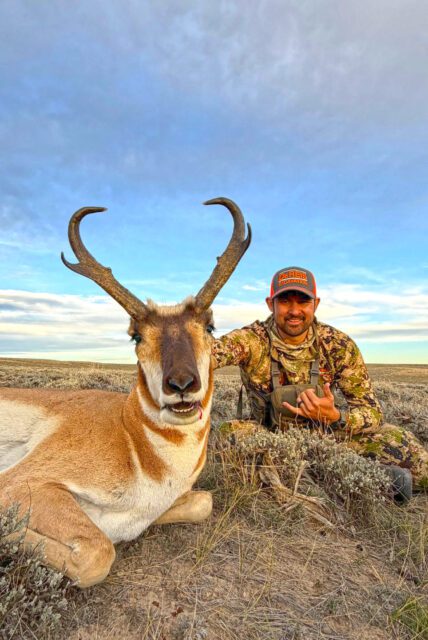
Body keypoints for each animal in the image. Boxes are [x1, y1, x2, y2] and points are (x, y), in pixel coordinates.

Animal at [0, 198, 251, 587]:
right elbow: (98, 553)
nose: (182, 385)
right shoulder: (19, 483)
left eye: (209, 326)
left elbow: (203, 502)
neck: (131, 438)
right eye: (136, 335)